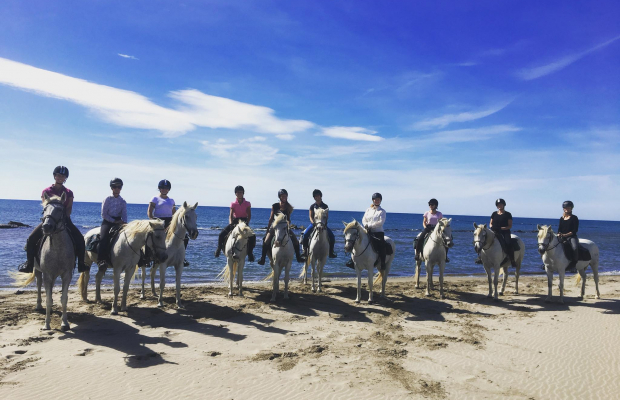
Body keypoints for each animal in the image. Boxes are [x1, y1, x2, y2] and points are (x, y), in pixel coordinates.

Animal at [13, 194, 75, 332]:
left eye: (60, 210)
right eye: (44, 209)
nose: (46, 227)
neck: (57, 249)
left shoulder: (66, 275)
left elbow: (64, 299)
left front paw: (65, 323)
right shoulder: (47, 274)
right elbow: (47, 299)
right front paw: (46, 324)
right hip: (38, 271)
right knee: (39, 286)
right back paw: (38, 306)